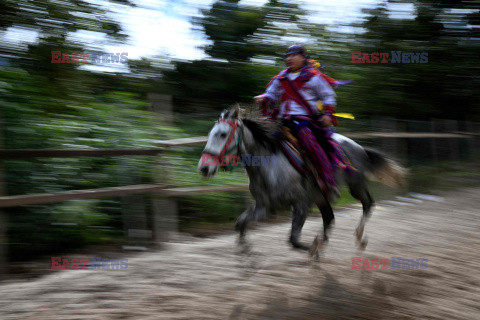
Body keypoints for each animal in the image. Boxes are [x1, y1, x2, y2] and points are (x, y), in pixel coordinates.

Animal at [197, 106, 404, 256]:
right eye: (211, 133)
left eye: (223, 134)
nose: (204, 168)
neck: (270, 166)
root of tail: (359, 147)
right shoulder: (264, 207)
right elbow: (240, 224)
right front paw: (246, 253)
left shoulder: (300, 204)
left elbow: (293, 240)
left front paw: (314, 248)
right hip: (321, 197)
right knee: (330, 218)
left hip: (356, 185)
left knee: (368, 204)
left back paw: (359, 238)